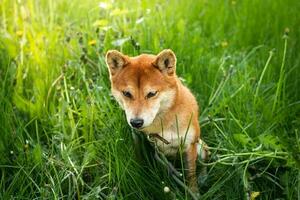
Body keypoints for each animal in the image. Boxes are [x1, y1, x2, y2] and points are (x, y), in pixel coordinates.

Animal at [106, 49, 203, 193]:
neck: (161, 123)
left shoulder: (189, 145)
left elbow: (190, 174)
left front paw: (193, 191)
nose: (136, 122)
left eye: (151, 94)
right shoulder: (138, 138)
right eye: (127, 93)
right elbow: (140, 161)